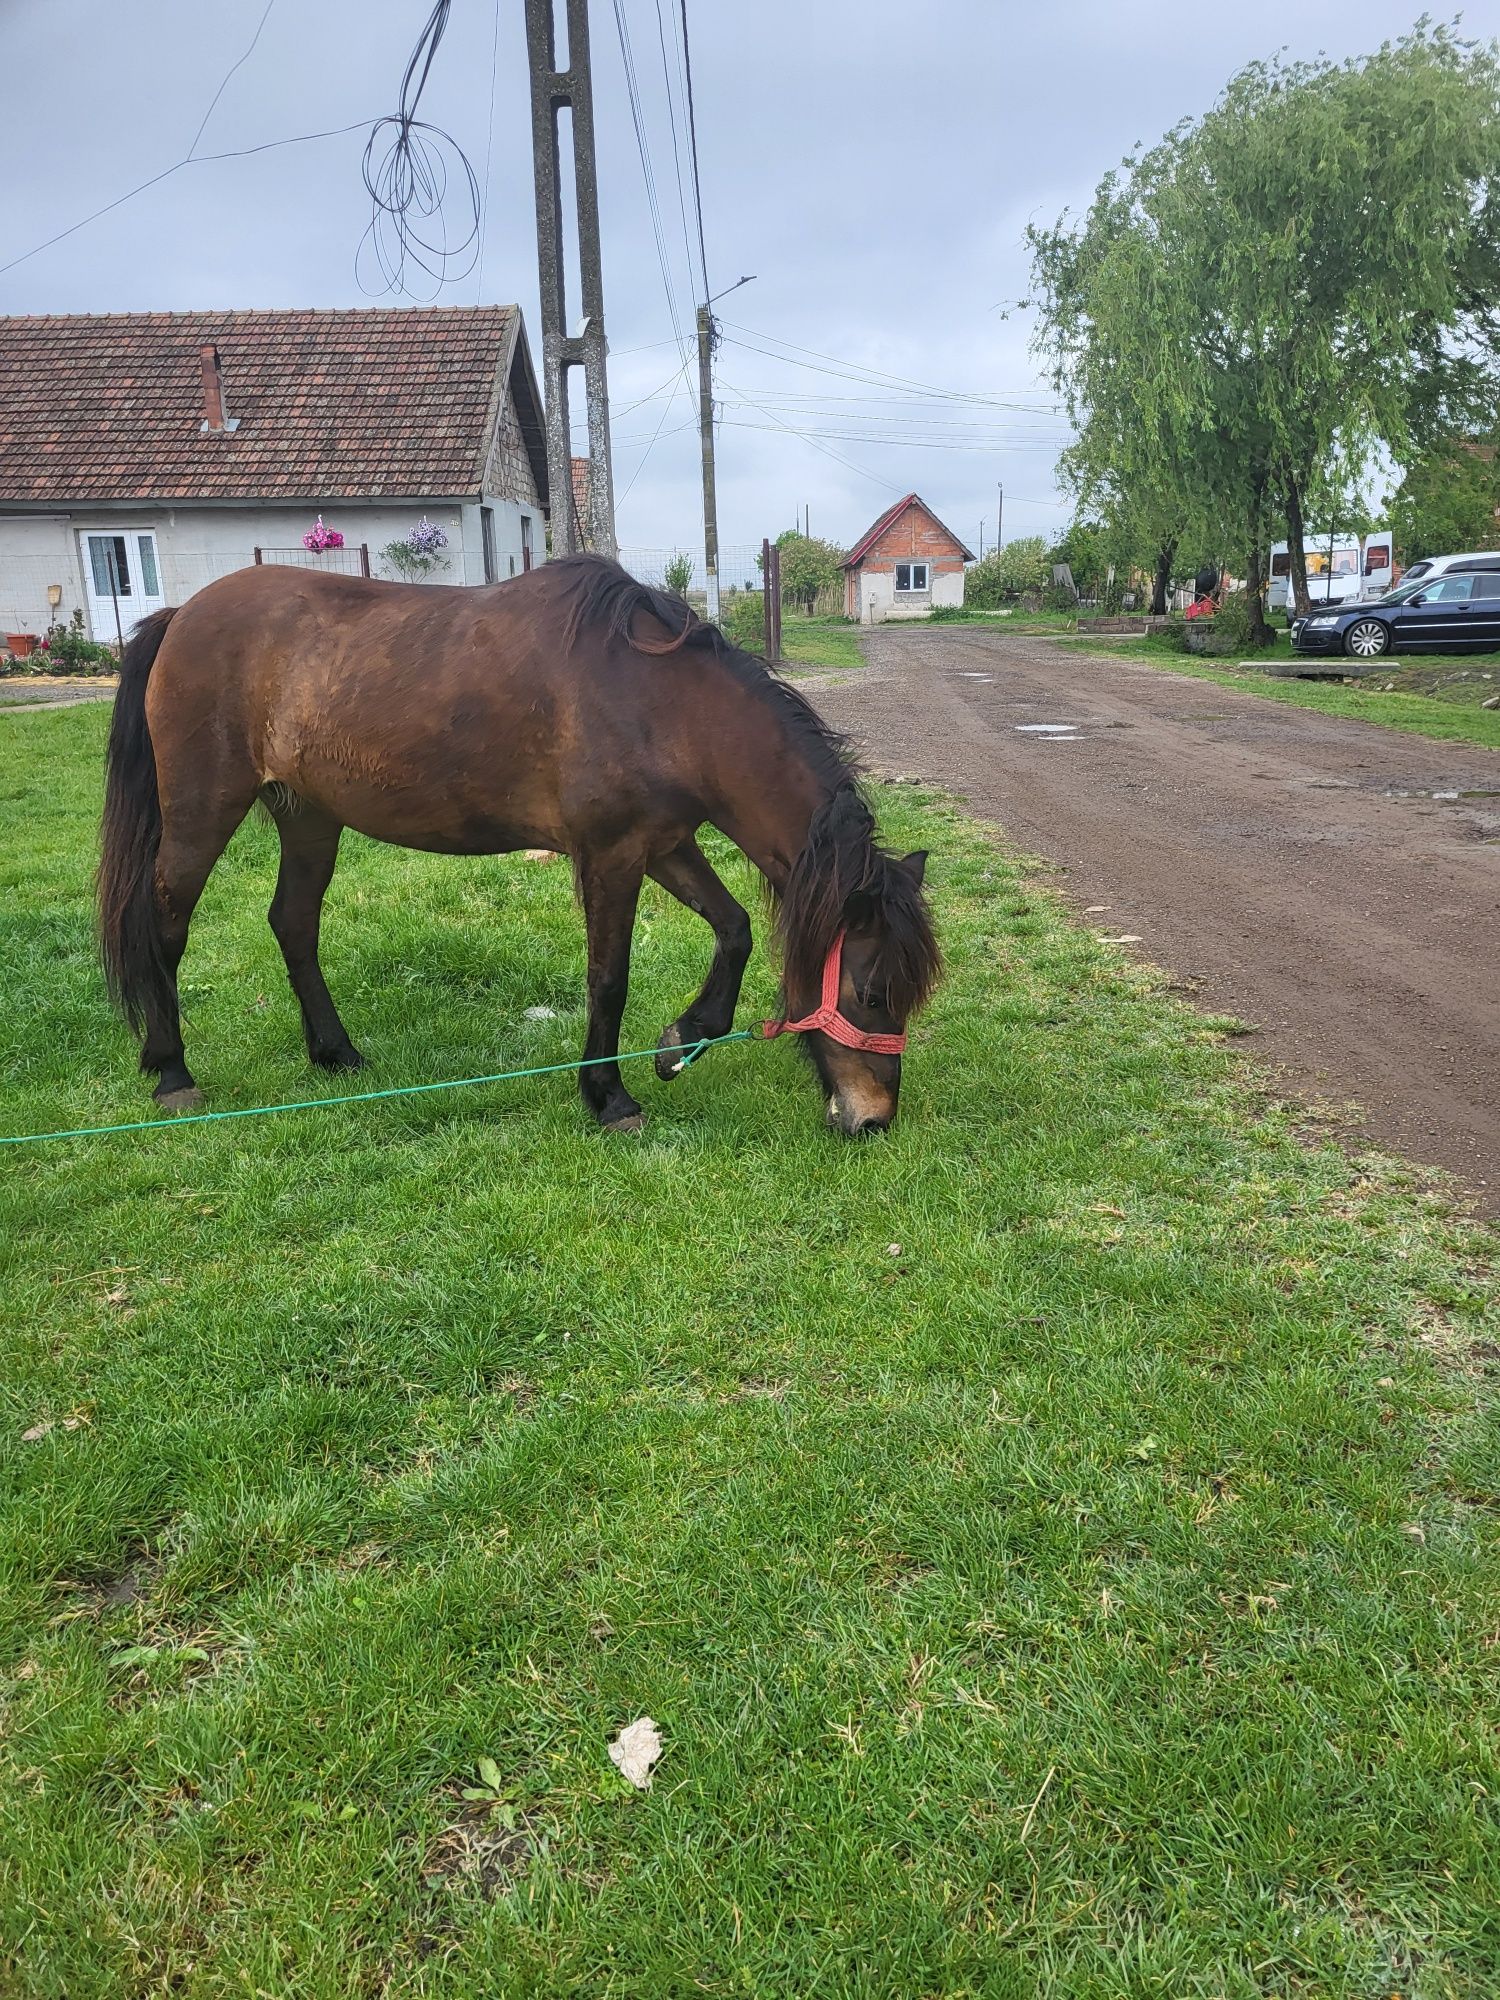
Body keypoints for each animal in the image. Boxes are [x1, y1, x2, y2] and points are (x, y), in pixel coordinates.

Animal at [97, 556, 940, 1136]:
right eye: (871, 993)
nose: (872, 1120)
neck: (661, 702)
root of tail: (181, 615)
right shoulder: (610, 855)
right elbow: (608, 978)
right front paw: (608, 1097)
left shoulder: (663, 843)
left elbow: (732, 930)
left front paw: (681, 1041)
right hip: (203, 811)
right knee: (165, 927)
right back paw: (171, 1072)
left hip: (309, 816)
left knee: (293, 923)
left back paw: (336, 1053)